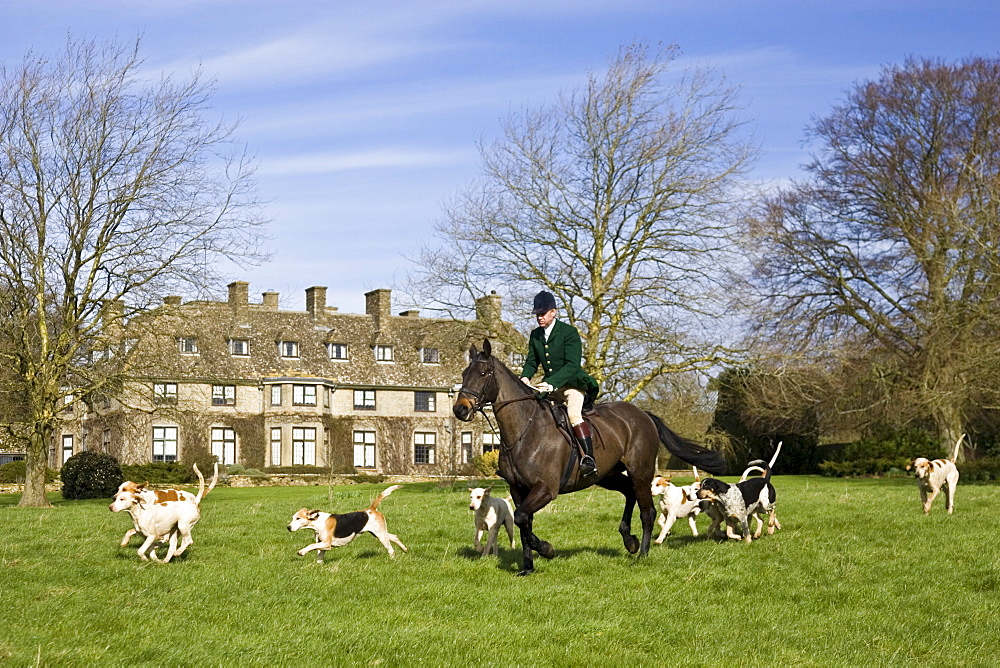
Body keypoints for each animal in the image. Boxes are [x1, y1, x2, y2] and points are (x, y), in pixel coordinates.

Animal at [456, 340, 728, 576]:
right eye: (463, 374)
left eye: (483, 374)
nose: (460, 409)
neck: (525, 430)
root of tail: (643, 414)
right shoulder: (518, 489)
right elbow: (524, 525)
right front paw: (528, 567)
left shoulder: (545, 489)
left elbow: (523, 519)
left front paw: (547, 550)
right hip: (607, 475)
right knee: (628, 493)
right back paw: (629, 540)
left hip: (640, 472)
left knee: (647, 511)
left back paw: (642, 553)